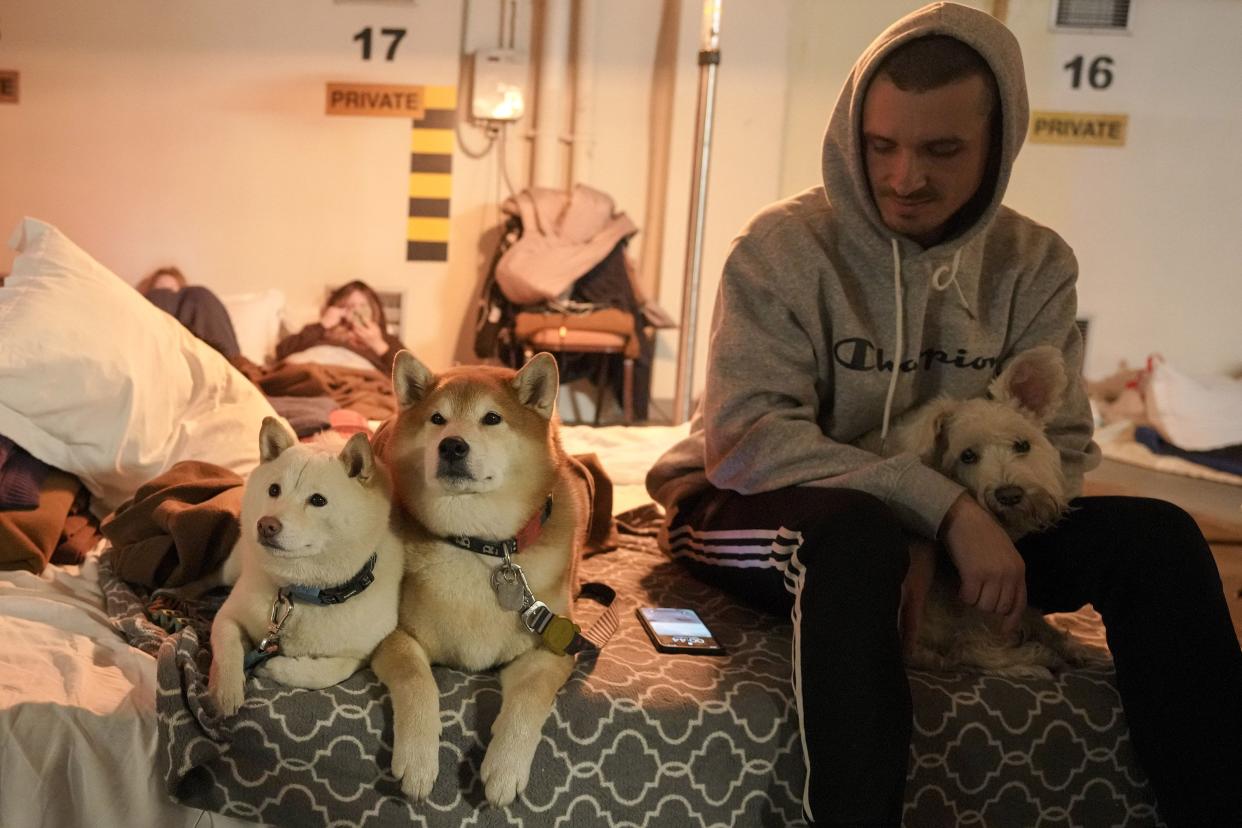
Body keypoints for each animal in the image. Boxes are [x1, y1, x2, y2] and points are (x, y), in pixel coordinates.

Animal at [208, 417, 402, 715]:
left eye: (318, 500)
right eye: (274, 490)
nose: (266, 525)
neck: (301, 592)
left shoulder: (361, 654)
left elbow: (326, 673)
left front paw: (275, 667)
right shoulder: (229, 614)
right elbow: (226, 644)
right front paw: (225, 691)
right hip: (232, 568)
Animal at [370, 352, 588, 809]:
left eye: (492, 418)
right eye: (437, 418)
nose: (452, 444)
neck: (479, 545)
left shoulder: (553, 648)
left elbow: (528, 698)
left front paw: (505, 767)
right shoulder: (391, 636)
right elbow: (416, 680)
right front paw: (418, 758)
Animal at [864, 347, 1097, 675]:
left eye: (1022, 445)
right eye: (968, 456)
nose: (1009, 495)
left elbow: (1036, 621)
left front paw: (1069, 645)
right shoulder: (969, 619)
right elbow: (979, 648)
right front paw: (1037, 658)